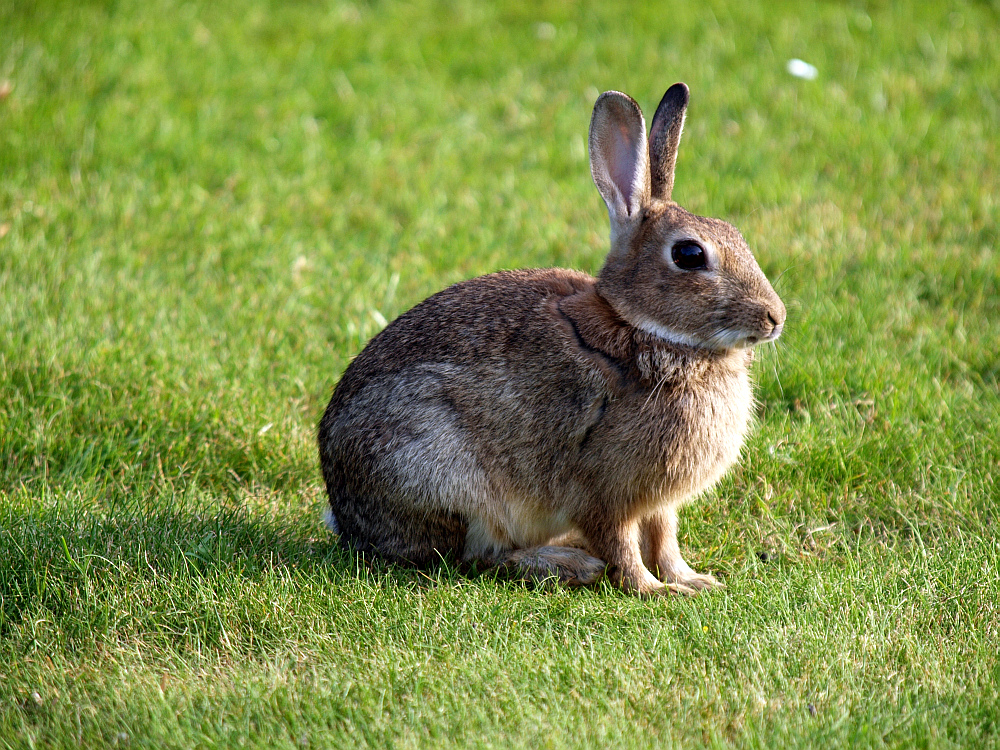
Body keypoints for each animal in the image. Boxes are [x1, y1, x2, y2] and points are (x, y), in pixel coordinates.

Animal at [316, 83, 784, 600]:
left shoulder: (658, 502)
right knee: (475, 558)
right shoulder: (604, 490)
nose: (775, 317)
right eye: (689, 254)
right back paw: (570, 564)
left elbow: (665, 539)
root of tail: (347, 516)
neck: (642, 329)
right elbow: (622, 544)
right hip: (446, 479)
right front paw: (652, 590)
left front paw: (692, 581)